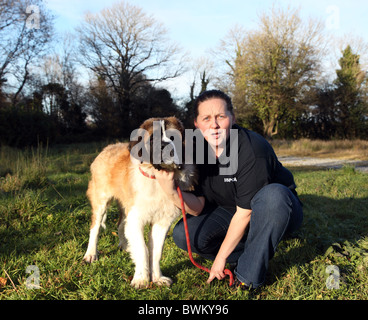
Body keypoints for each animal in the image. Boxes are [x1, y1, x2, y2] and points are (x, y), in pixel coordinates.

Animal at [82, 116, 197, 288]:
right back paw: (90, 254)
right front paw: (141, 279)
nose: (165, 146)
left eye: (173, 138)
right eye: (153, 139)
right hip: (101, 201)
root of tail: (107, 148)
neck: (157, 178)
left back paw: (125, 246)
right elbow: (143, 249)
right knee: (95, 228)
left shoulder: (162, 222)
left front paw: (157, 278)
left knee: (120, 225)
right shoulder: (136, 218)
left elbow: (156, 251)